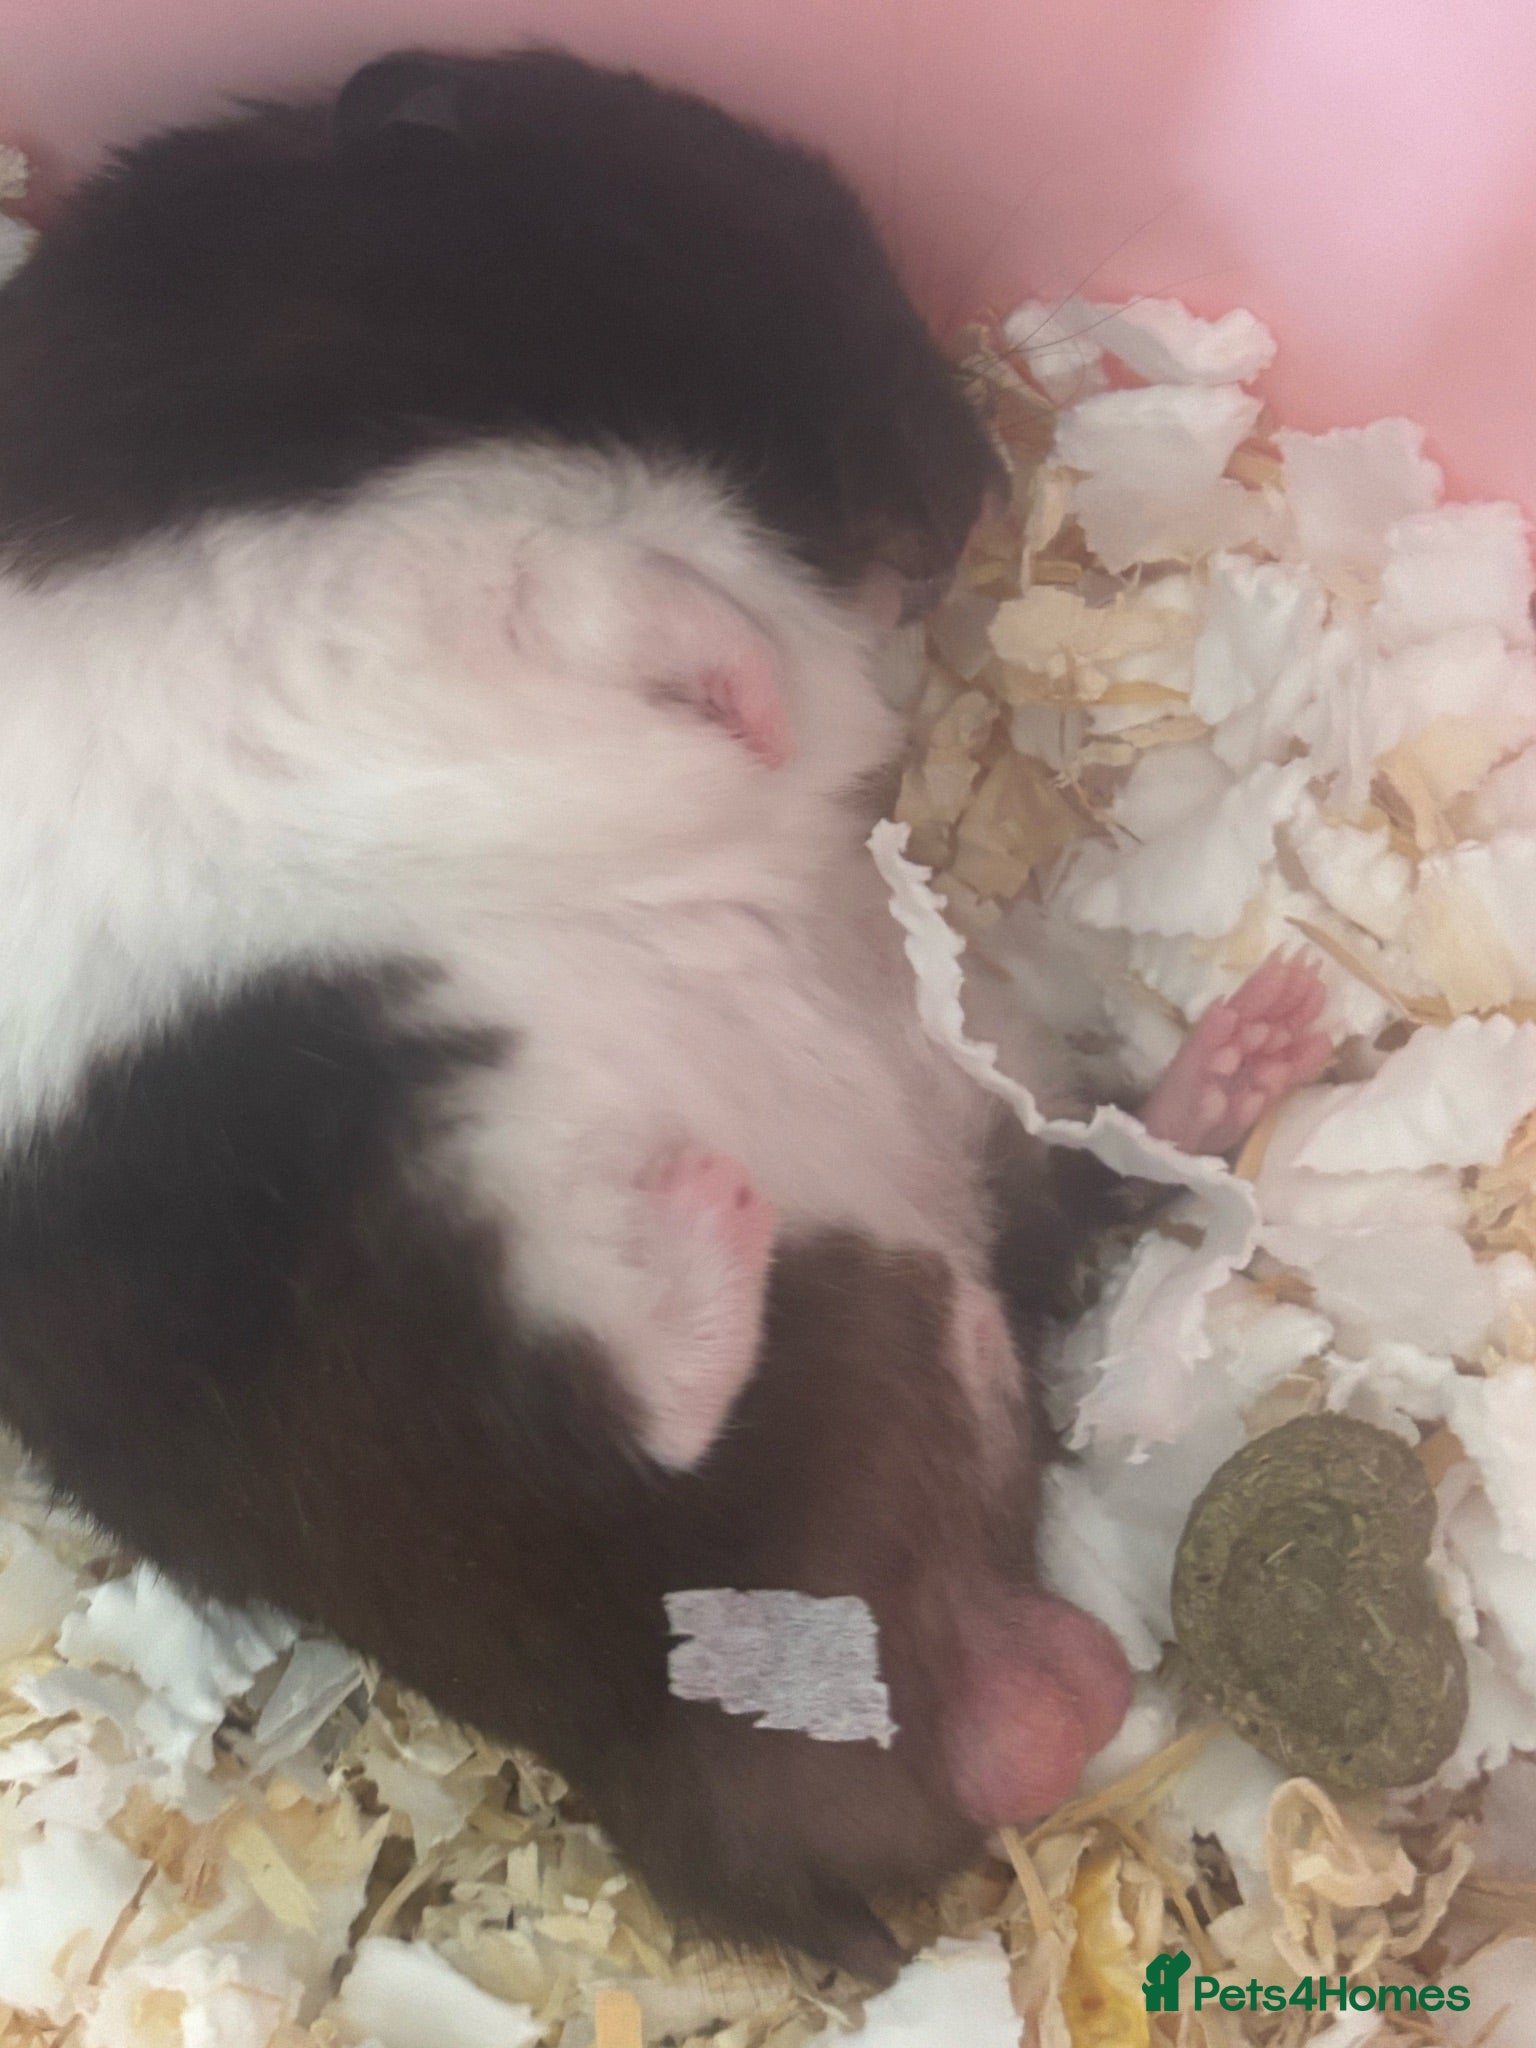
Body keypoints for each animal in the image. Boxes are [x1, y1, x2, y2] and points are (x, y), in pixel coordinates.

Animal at [0, 50, 1330, 1980]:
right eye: (802, 261)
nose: (975, 490)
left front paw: (796, 724)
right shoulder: (414, 573)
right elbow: (606, 597)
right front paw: (767, 717)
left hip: (929, 1124)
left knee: (1045, 1222)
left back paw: (1258, 1043)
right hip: (402, 1192)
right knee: (610, 1401)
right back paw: (705, 1219)